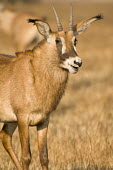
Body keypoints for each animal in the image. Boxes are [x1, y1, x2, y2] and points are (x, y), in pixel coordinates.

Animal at [0, 6, 103, 170]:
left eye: (75, 40)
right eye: (57, 40)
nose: (77, 62)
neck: (35, 73)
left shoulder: (44, 121)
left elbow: (44, 156)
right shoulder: (23, 119)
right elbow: (26, 157)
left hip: (11, 121)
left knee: (4, 136)